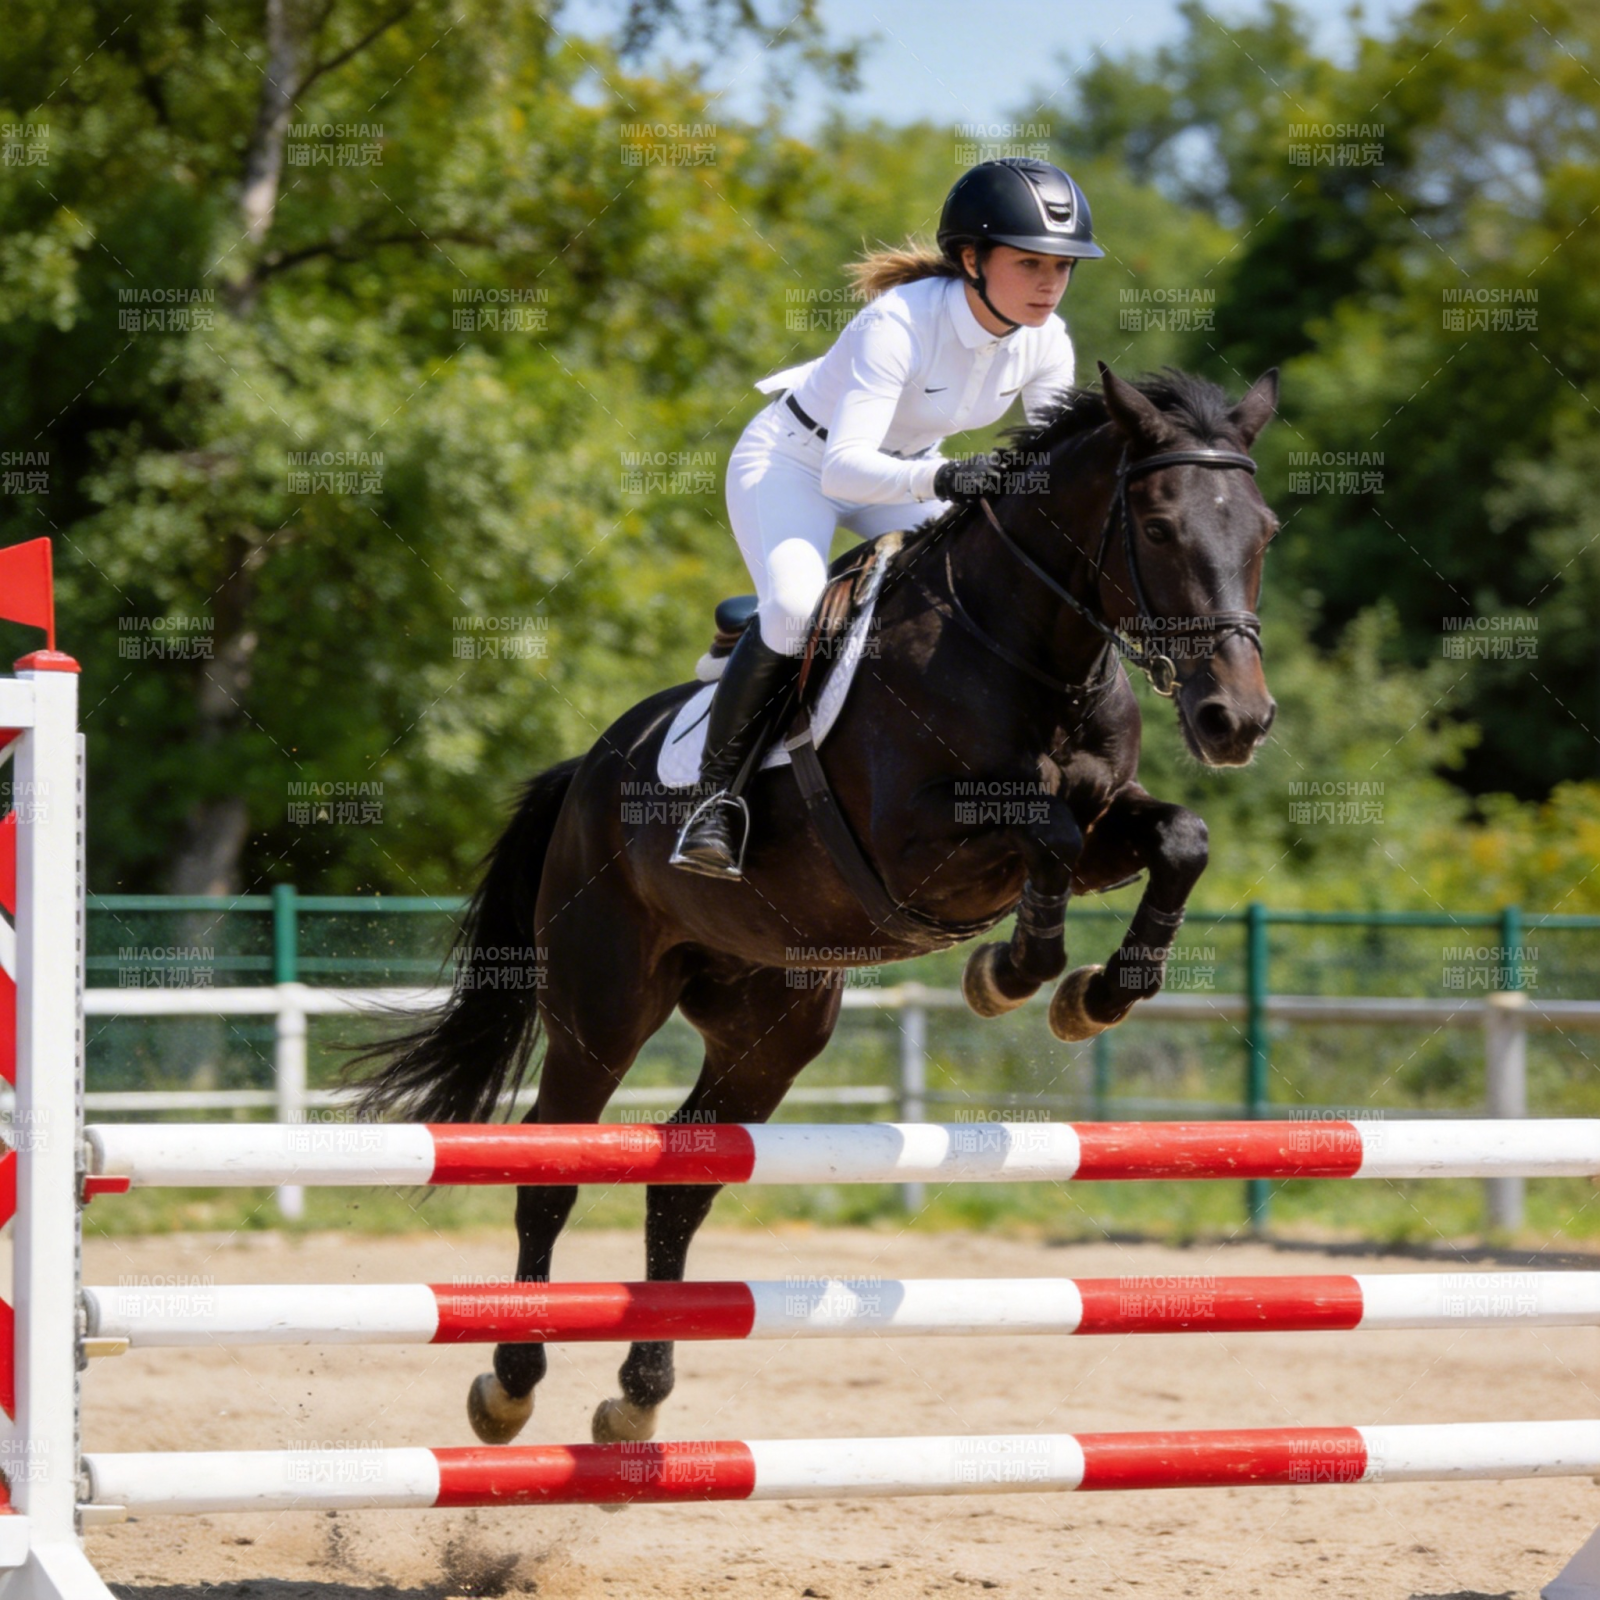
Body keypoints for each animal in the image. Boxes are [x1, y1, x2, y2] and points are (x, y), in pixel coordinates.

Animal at [352, 362, 1281, 1447]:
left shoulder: (1103, 821)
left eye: (1263, 530)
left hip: (772, 1024)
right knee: (556, 1168)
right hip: (601, 1004)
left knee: (680, 1186)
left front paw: (1095, 994)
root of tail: (587, 767)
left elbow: (1180, 838)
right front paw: (1009, 973)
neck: (1027, 650)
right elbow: (1043, 832)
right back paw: (511, 1382)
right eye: (1163, 526)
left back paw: (638, 1396)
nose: (1235, 720)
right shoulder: (919, 847)